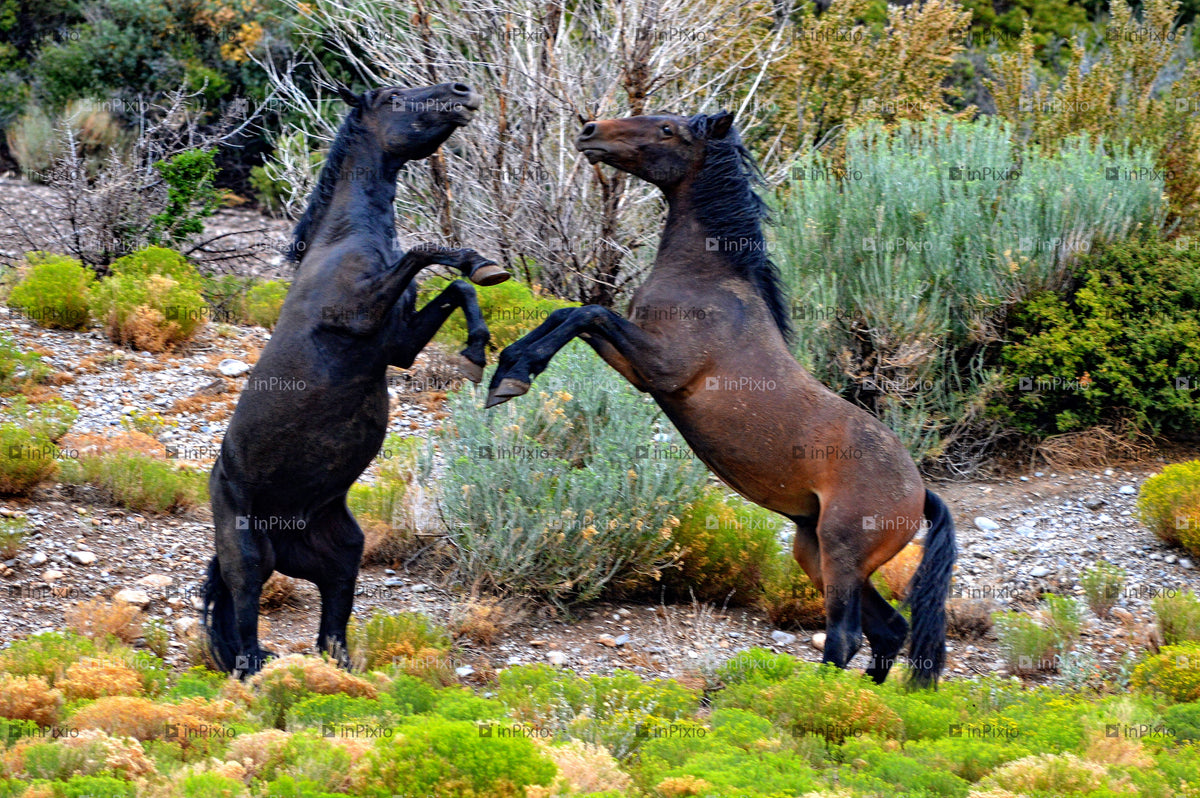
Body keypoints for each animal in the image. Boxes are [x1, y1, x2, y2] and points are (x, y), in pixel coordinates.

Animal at [204, 82, 510, 676]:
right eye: (394, 97)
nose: (461, 91)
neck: (343, 243)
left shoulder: (398, 344)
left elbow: (459, 288)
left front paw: (476, 344)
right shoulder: (361, 316)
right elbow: (426, 250)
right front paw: (477, 264)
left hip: (338, 552)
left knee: (332, 624)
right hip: (248, 553)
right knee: (246, 613)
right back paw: (264, 670)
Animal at [485, 111, 956, 687]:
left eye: (667, 129)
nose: (590, 131)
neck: (706, 280)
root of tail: (918, 493)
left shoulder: (661, 368)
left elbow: (585, 312)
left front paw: (513, 376)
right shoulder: (635, 361)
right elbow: (572, 314)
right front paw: (507, 371)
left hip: (843, 554)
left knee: (845, 637)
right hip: (814, 551)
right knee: (889, 629)